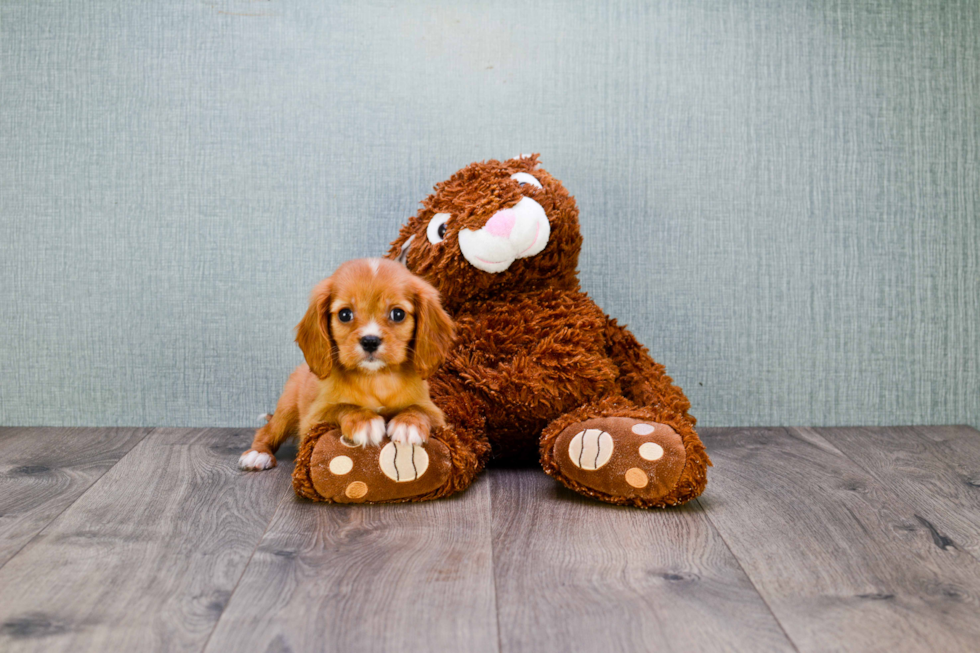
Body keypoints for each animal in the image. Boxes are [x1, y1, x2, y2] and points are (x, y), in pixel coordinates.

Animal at [239, 258, 454, 472]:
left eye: (398, 314)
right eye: (344, 314)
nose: (370, 341)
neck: (376, 378)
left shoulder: (435, 413)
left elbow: (419, 409)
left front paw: (408, 424)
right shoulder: (314, 418)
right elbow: (342, 406)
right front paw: (364, 421)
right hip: (286, 410)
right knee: (267, 431)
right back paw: (258, 454)